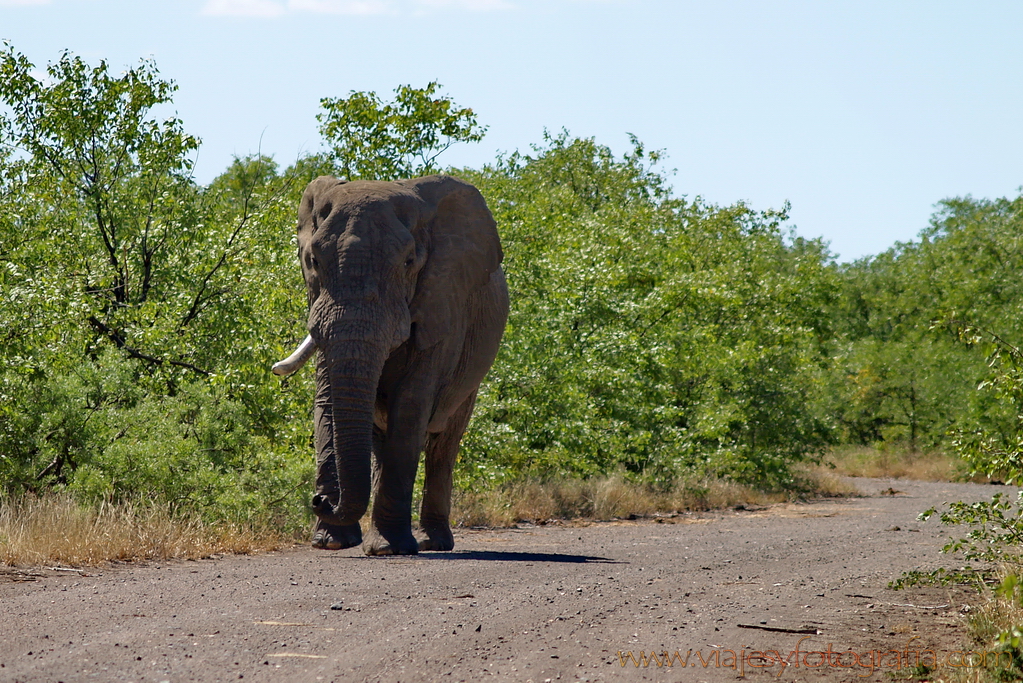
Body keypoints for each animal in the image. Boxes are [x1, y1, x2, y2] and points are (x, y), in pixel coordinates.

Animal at [274, 174, 509, 556]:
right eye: (313, 261)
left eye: (409, 262)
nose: (320, 499)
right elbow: (326, 401)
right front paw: (330, 543)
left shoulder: (441, 306)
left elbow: (411, 404)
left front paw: (388, 549)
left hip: (472, 371)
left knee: (444, 444)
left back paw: (432, 542)